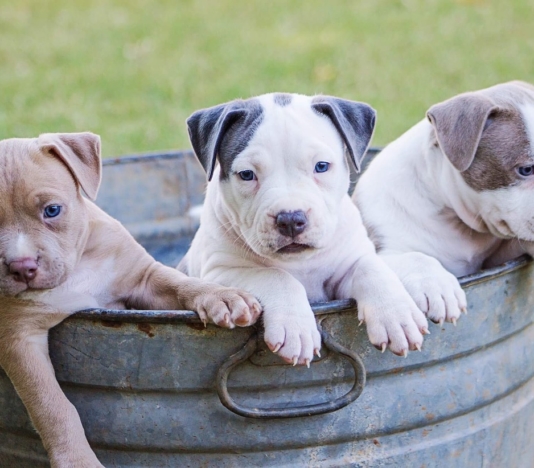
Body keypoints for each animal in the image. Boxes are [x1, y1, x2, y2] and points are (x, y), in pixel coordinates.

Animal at [0, 133, 262, 468]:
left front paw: (223, 297)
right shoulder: (19, 338)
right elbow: (52, 405)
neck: (77, 269)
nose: (22, 267)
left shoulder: (144, 279)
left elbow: (181, 284)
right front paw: (78, 460)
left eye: (52, 210)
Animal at [180, 92, 432, 366]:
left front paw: (396, 314)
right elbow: (277, 276)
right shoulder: (219, 272)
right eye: (247, 174)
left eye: (321, 166)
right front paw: (295, 330)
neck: (299, 262)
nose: (290, 218)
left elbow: (371, 268)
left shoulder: (347, 265)